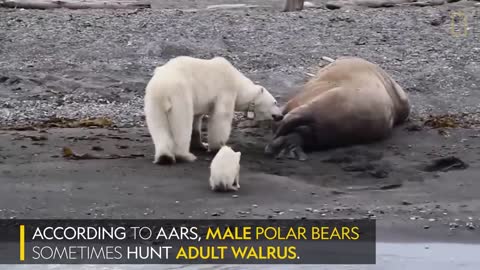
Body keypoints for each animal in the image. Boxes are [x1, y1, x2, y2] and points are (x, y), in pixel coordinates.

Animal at [144, 56, 284, 165]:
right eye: (275, 102)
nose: (281, 116)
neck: (238, 82)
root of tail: (163, 88)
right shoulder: (226, 90)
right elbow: (221, 117)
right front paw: (219, 146)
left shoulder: (200, 99)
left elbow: (197, 118)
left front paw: (201, 145)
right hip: (180, 95)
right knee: (182, 123)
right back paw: (185, 155)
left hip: (153, 100)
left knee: (158, 125)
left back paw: (164, 157)